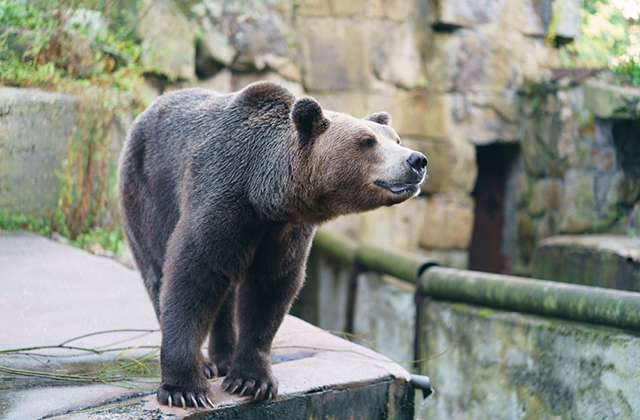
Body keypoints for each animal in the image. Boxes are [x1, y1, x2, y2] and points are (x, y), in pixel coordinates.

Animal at [119, 81, 430, 406]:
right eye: (367, 141)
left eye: (395, 139)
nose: (416, 160)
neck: (262, 195)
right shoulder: (220, 199)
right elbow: (193, 274)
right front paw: (186, 389)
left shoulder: (286, 232)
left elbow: (270, 290)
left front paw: (251, 380)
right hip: (148, 191)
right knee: (157, 270)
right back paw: (207, 363)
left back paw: (225, 358)